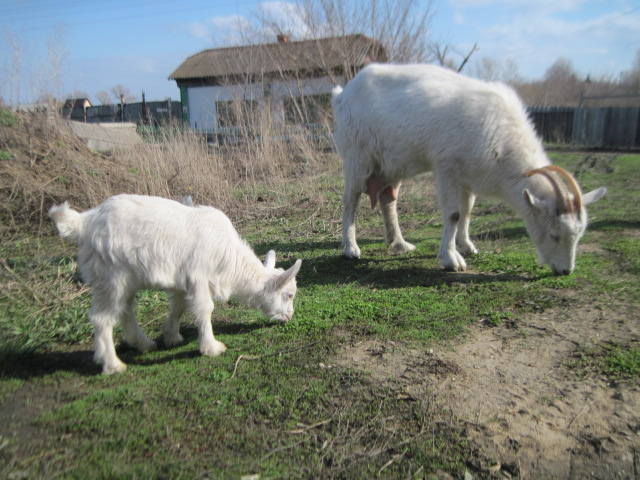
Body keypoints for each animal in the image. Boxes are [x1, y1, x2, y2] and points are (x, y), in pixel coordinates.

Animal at [47, 195, 302, 376]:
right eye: (289, 295)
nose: (289, 317)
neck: (229, 259)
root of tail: (85, 222)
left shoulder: (182, 282)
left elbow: (178, 307)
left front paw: (172, 337)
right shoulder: (198, 276)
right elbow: (204, 309)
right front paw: (211, 347)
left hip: (125, 280)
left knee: (125, 310)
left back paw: (143, 344)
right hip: (111, 278)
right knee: (103, 318)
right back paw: (112, 365)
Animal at [332, 62, 608, 274]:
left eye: (578, 235)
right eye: (554, 234)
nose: (565, 271)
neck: (502, 141)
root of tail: (341, 95)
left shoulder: (469, 174)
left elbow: (467, 211)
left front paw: (467, 246)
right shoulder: (447, 168)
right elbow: (454, 214)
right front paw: (451, 259)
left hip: (392, 164)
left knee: (388, 199)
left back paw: (399, 244)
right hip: (358, 156)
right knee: (351, 199)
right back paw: (351, 248)